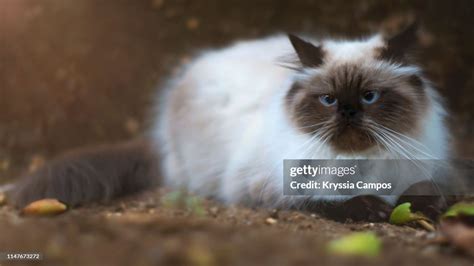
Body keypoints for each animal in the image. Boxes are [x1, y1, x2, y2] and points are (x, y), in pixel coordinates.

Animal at [8, 22, 452, 214]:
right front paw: (373, 206)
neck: (357, 164)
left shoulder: (426, 171)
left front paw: (416, 206)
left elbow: (427, 191)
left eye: (369, 97)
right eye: (327, 100)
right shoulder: (265, 186)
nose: (348, 112)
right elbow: (327, 201)